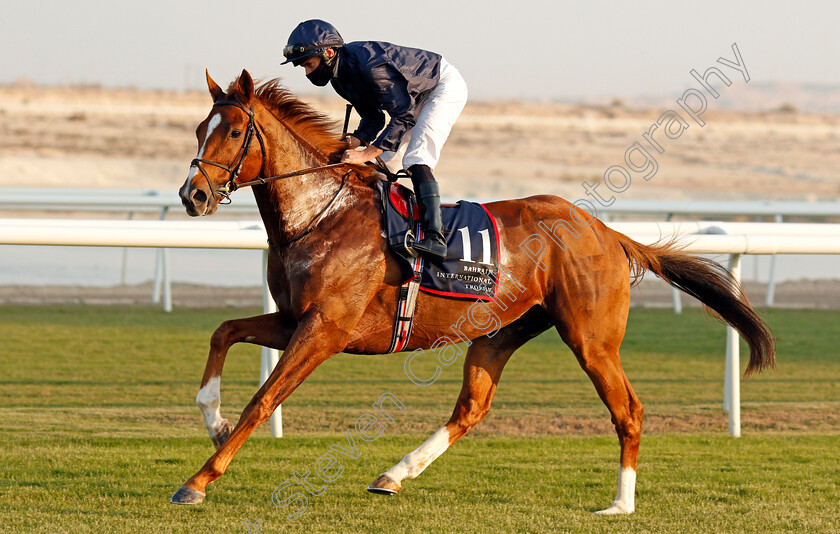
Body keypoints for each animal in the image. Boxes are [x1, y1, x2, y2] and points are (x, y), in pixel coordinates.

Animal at [171, 70, 776, 516]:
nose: (191, 195)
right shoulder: (295, 318)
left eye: (232, 132)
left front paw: (198, 480)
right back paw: (394, 474)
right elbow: (223, 332)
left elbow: (263, 400)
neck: (320, 213)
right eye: (200, 128)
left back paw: (620, 504)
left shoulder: (326, 329)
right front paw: (213, 420)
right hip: (501, 330)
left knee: (628, 409)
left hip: (591, 338)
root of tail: (606, 231)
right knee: (472, 407)